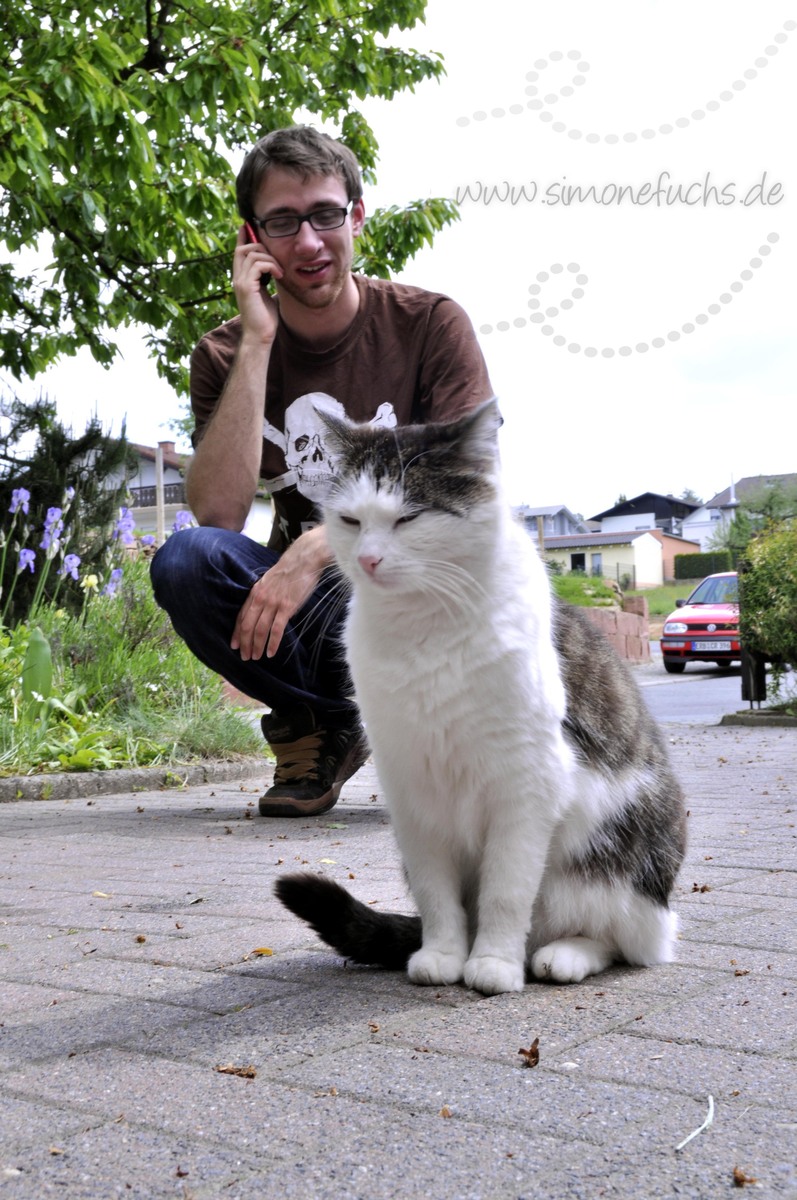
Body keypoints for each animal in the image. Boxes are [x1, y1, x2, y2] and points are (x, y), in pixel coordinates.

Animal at [275, 399, 687, 996]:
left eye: (408, 517)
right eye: (351, 520)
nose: (369, 559)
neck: (424, 630)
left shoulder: (526, 782)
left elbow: (506, 890)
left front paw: (492, 962)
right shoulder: (412, 789)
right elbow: (437, 894)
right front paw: (444, 954)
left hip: (619, 858)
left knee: (620, 941)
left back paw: (560, 956)